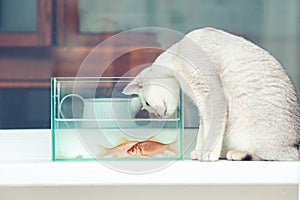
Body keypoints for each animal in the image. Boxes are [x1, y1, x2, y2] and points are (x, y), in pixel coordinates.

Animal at [122, 27, 300, 161]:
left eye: (147, 104)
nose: (158, 117)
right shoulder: (201, 103)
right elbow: (203, 131)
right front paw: (199, 152)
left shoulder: (210, 94)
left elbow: (212, 130)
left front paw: (207, 153)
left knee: (280, 156)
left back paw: (236, 153)